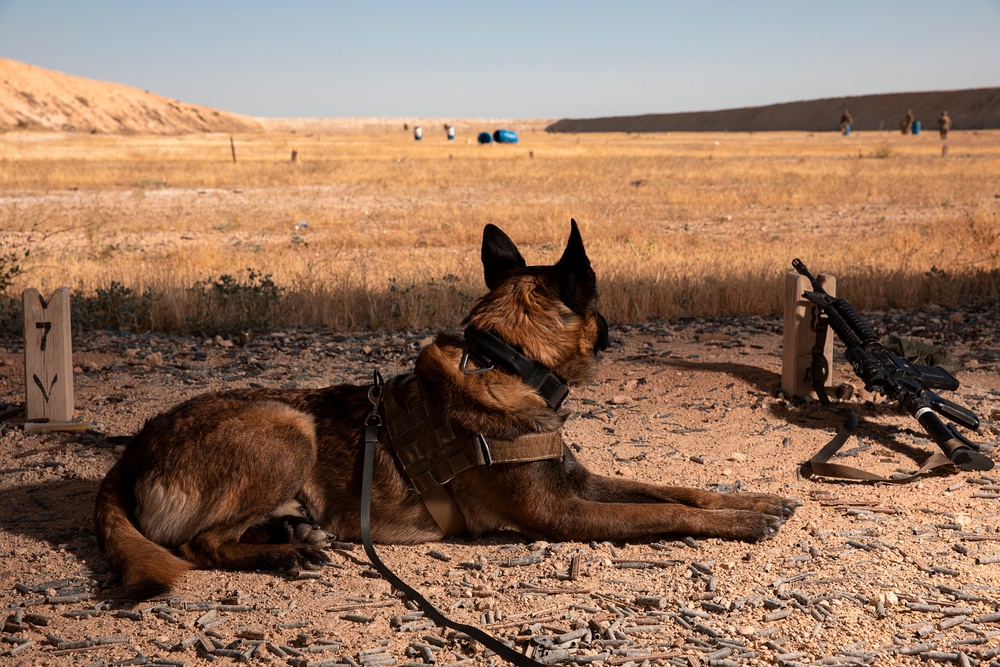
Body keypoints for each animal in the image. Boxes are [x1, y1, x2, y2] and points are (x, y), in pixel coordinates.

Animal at [94, 223, 796, 600]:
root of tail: (134, 448)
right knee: (199, 542)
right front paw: (743, 523)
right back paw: (284, 555)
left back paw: (296, 534)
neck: (507, 362)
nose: (615, 331)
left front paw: (754, 501)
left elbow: (679, 489)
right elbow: (664, 513)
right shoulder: (562, 511)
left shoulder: (582, 483)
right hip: (284, 427)